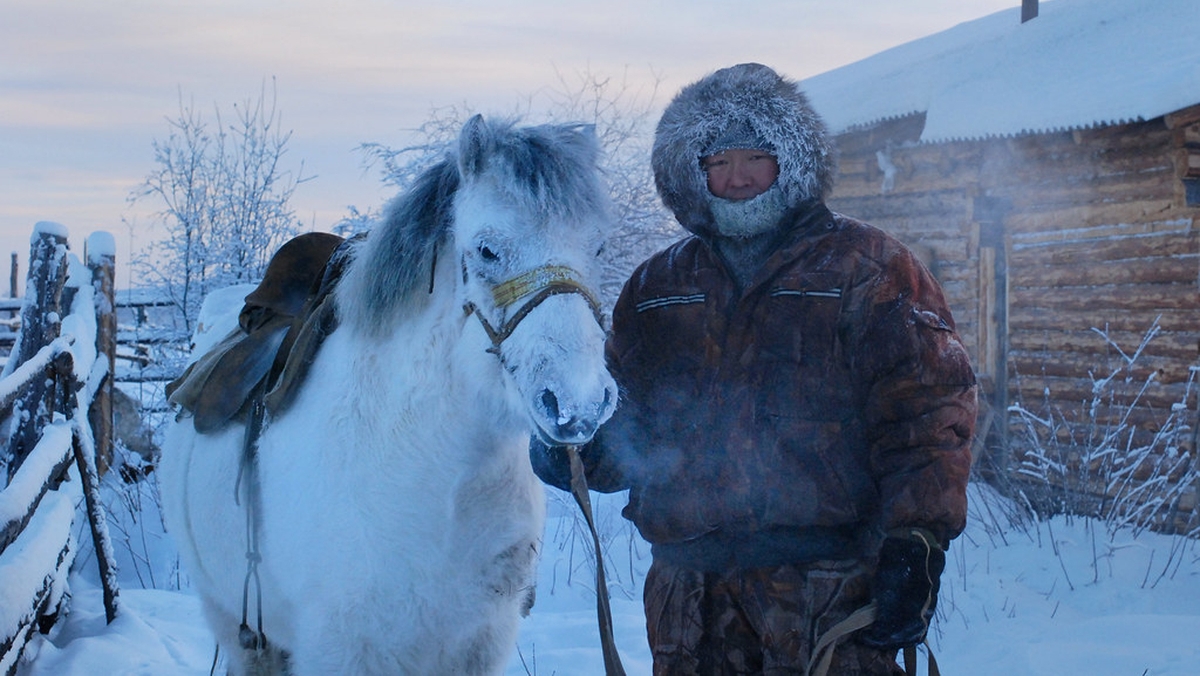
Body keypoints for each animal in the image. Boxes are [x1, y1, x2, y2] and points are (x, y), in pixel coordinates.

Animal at [159, 115, 619, 675]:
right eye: (486, 249)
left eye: (598, 248)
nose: (580, 403)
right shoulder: (342, 650)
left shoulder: (479, 646)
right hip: (235, 624)